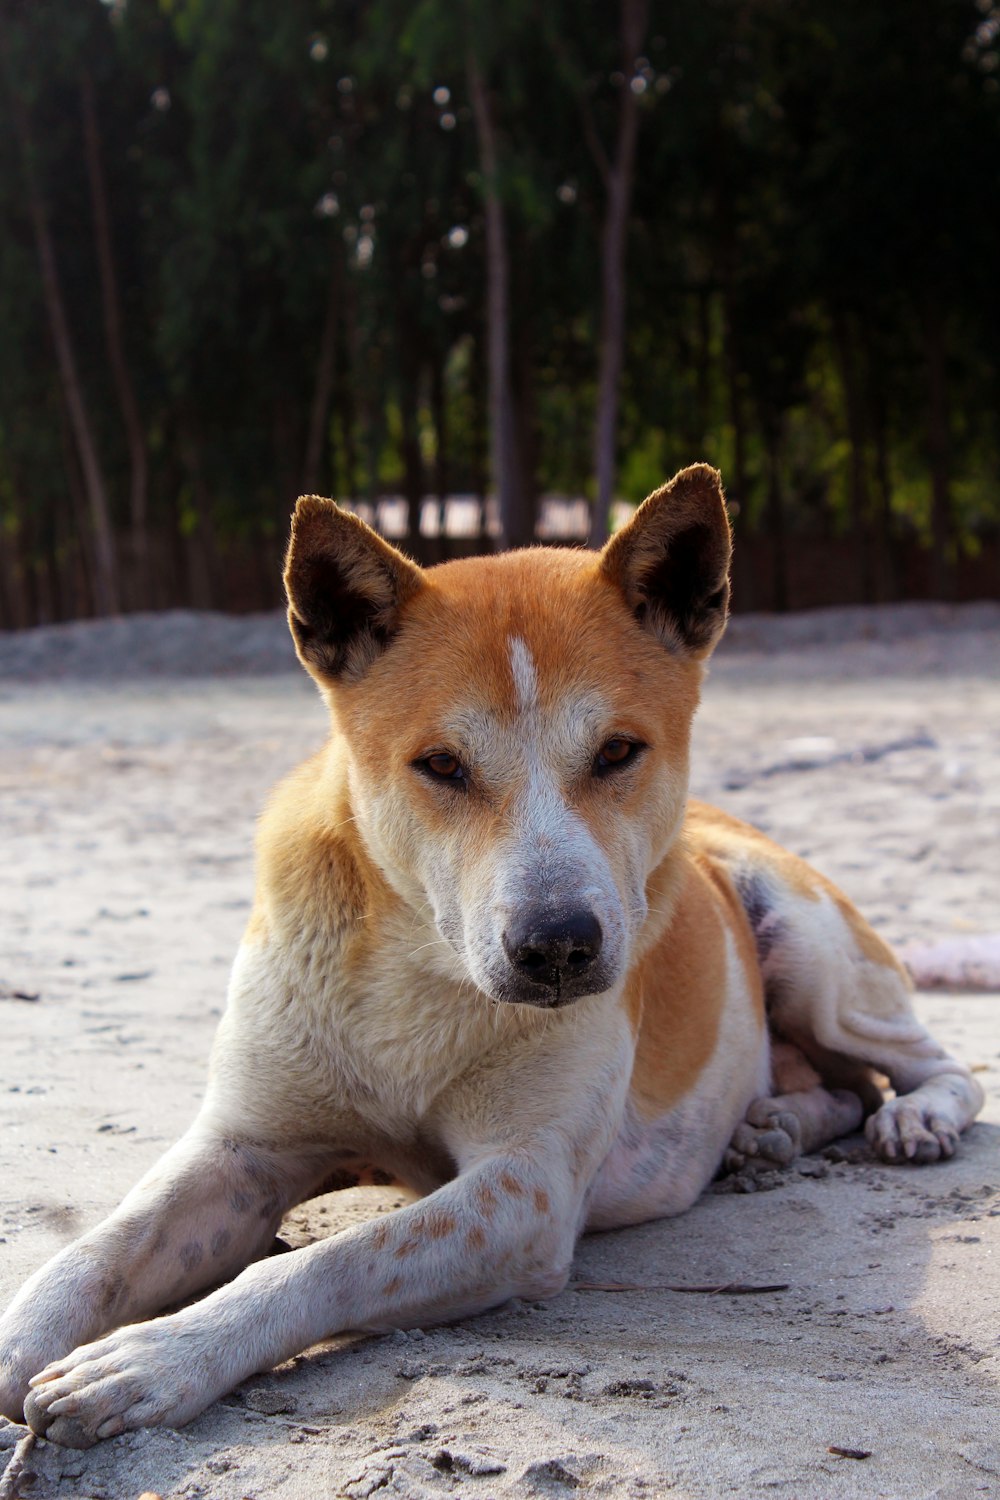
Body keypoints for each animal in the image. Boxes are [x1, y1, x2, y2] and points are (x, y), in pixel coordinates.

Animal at [0, 462, 983, 1446]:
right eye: (440, 765)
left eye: (618, 750)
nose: (560, 948)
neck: (416, 977)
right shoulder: (245, 1148)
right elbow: (102, 1246)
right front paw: (27, 1337)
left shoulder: (524, 1191)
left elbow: (324, 1262)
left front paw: (153, 1359)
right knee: (842, 1088)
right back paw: (769, 1130)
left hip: (808, 947)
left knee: (927, 1067)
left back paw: (914, 1119)